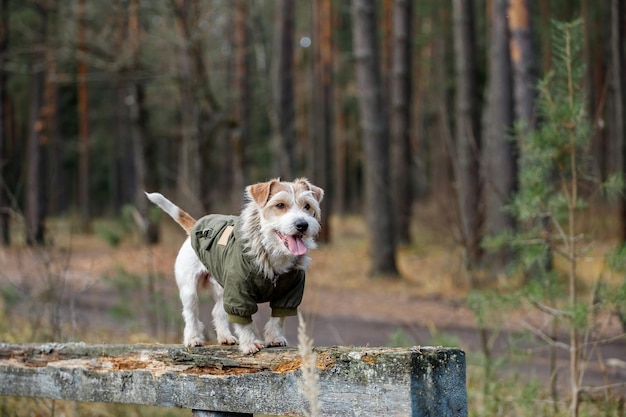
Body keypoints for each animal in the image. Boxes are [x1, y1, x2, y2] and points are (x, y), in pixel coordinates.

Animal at [146, 177, 322, 352]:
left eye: (307, 206)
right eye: (280, 205)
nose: (302, 224)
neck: (271, 253)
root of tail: (194, 227)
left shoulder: (289, 294)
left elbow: (278, 318)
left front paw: (275, 338)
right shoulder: (238, 293)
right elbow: (244, 321)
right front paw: (249, 343)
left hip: (222, 288)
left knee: (217, 312)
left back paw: (225, 337)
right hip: (190, 290)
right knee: (191, 314)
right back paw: (193, 338)